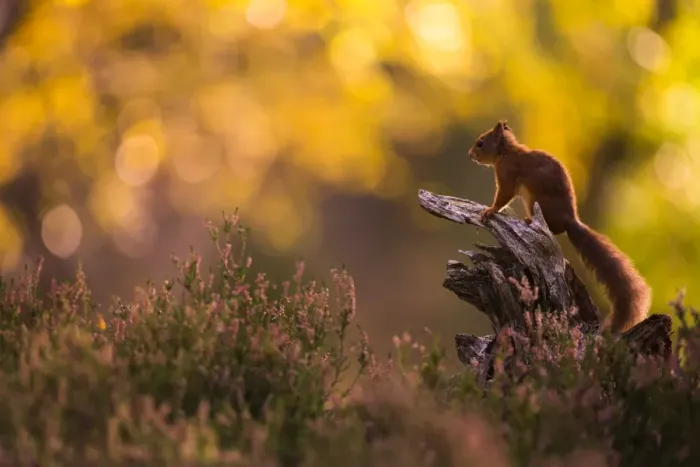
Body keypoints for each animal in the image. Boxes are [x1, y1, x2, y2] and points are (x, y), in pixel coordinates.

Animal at [467, 120, 651, 334]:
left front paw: (489, 211)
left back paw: (528, 221)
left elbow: (503, 197)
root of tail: (569, 220)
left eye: (480, 143)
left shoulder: (508, 174)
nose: (470, 154)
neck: (506, 153)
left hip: (535, 200)